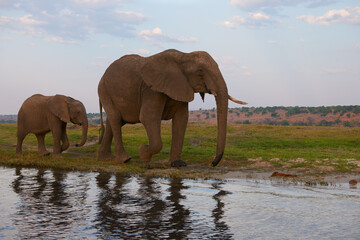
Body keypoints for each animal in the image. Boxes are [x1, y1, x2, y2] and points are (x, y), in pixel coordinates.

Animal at [97, 49, 246, 167]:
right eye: (200, 71)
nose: (213, 163)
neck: (183, 56)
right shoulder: (151, 90)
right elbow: (148, 117)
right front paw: (143, 153)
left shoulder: (182, 86)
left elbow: (181, 119)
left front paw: (178, 164)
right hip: (104, 91)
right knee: (116, 119)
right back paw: (125, 160)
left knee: (114, 122)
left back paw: (106, 159)